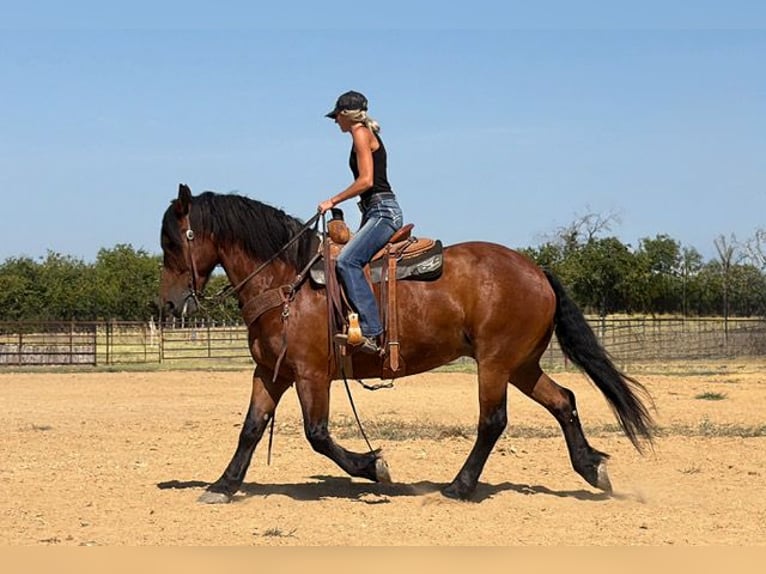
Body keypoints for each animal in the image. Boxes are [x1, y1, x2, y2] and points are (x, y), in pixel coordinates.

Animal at [159, 183, 655, 503]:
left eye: (172, 242)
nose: (168, 303)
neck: (288, 283)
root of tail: (536, 271)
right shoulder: (271, 372)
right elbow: (250, 429)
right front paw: (223, 486)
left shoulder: (311, 374)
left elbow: (317, 434)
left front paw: (373, 466)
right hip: (521, 365)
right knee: (564, 400)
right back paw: (592, 469)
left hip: (495, 363)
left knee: (492, 421)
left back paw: (459, 487)